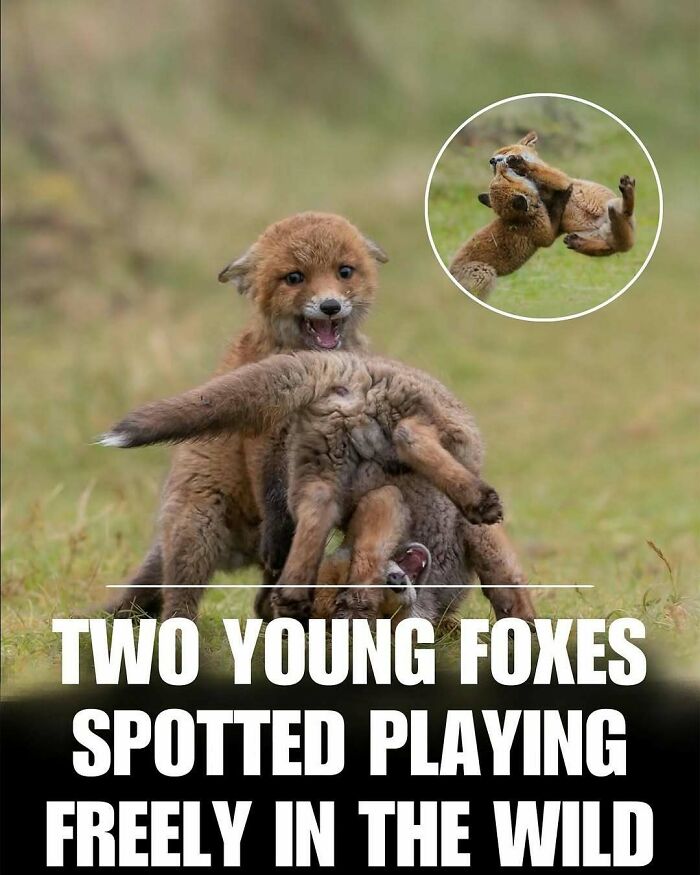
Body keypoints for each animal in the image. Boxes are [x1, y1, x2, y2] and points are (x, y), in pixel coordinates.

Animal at [100, 351, 508, 621]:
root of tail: (343, 366)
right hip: (429, 425)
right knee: (411, 436)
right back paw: (479, 499)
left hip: (320, 469)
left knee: (316, 512)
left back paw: (292, 595)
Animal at [107, 212, 388, 622]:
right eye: (294, 277)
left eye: (345, 271)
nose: (330, 306)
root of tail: (239, 555)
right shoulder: (264, 435)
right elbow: (272, 493)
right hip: (198, 530)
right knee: (177, 602)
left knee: (262, 599)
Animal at [449, 160, 572, 298]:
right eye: (505, 177)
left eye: (501, 177)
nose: (495, 161)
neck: (520, 219)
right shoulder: (545, 235)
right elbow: (557, 213)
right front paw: (566, 193)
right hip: (486, 272)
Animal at [483, 131, 636, 257]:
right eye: (494, 169)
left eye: (505, 151)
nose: (491, 160)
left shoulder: (563, 181)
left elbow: (539, 170)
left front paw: (520, 164)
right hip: (597, 245)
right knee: (601, 245)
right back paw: (577, 242)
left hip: (617, 209)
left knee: (626, 210)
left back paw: (628, 191)